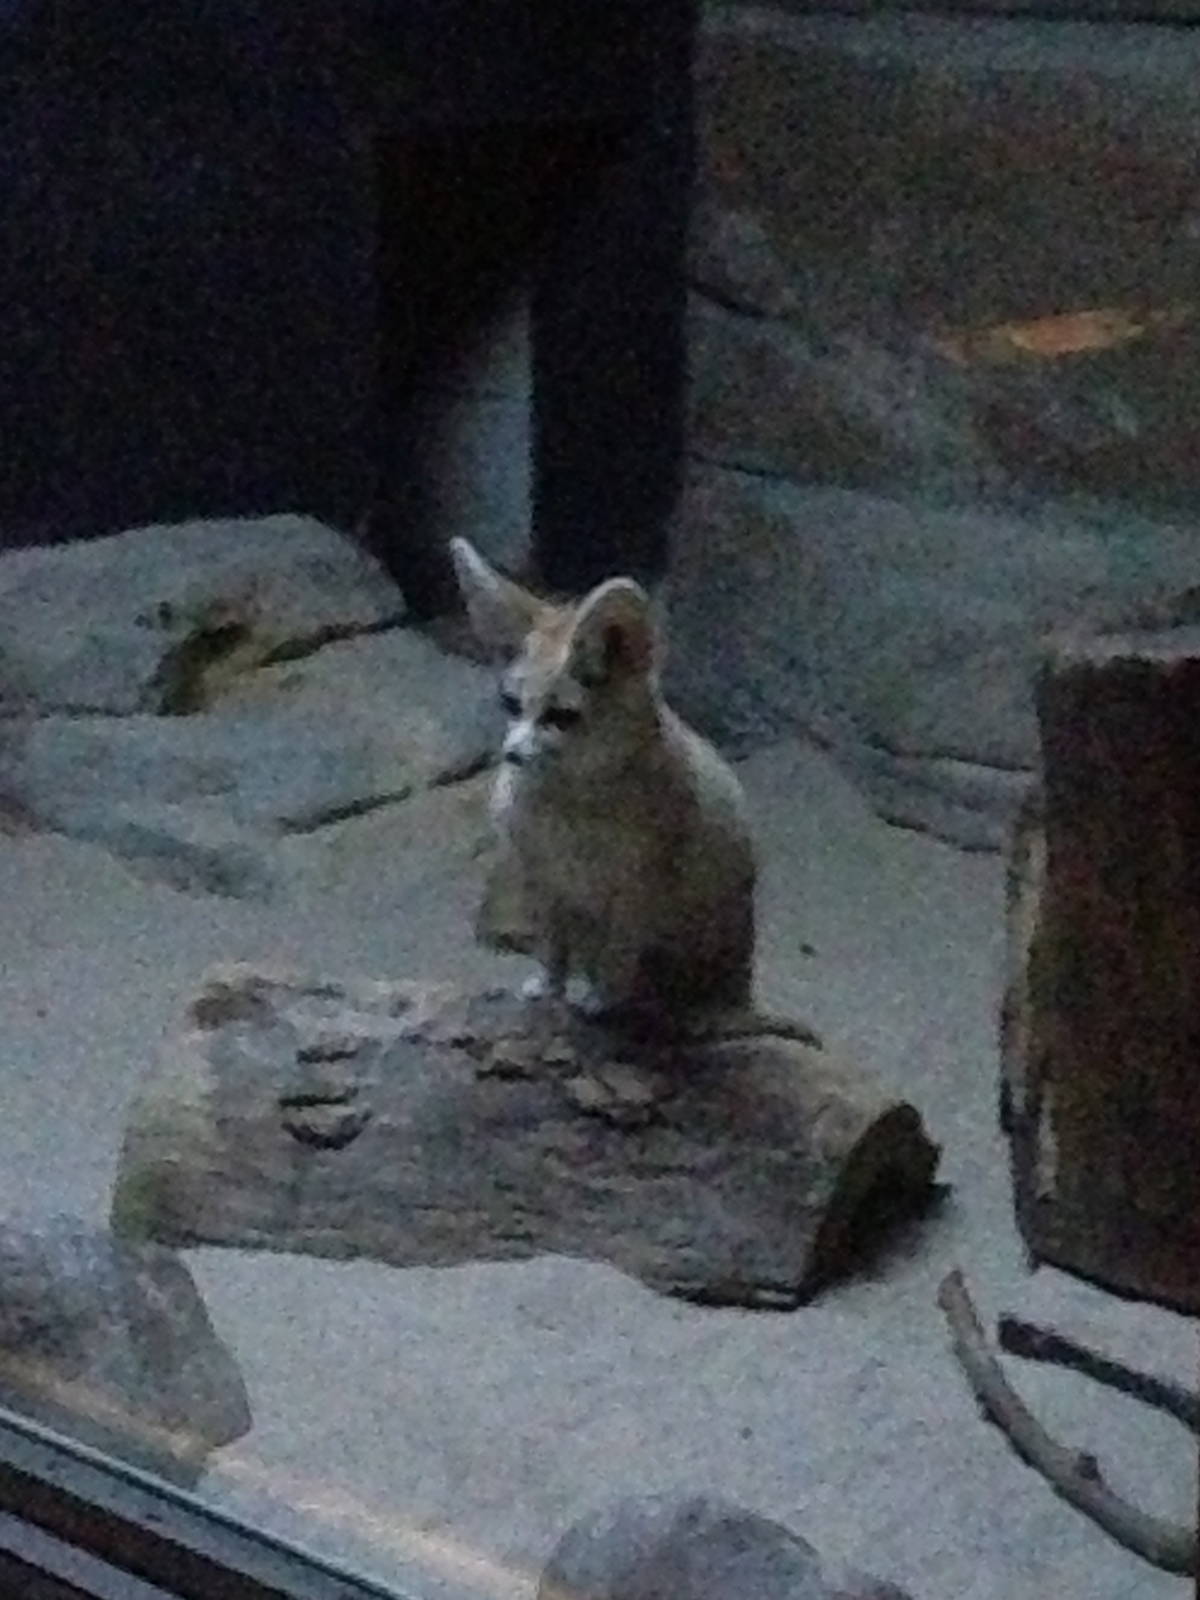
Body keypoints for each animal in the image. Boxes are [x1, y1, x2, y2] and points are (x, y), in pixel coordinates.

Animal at [449, 537, 819, 1047]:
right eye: (510, 704)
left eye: (560, 717)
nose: (513, 755)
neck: (567, 801)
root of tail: (741, 996)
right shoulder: (542, 880)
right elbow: (551, 947)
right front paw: (548, 989)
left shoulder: (637, 891)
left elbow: (619, 955)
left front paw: (600, 999)